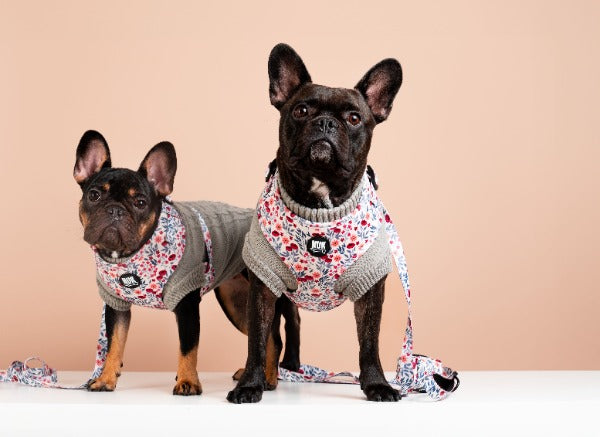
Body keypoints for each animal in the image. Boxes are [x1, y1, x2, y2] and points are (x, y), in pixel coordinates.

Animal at [73, 130, 300, 395]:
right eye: (94, 195)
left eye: (140, 202)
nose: (115, 210)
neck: (135, 253)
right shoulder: (116, 305)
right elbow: (114, 345)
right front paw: (106, 379)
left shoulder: (187, 303)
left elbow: (188, 348)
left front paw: (188, 382)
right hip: (238, 303)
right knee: (258, 337)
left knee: (273, 338)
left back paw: (268, 379)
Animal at [227, 43, 403, 403]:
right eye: (301, 110)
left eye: (354, 118)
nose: (324, 123)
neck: (319, 205)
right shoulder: (263, 285)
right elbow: (257, 341)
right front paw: (249, 384)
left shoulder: (371, 289)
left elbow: (370, 343)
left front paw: (377, 384)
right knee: (281, 334)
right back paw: (273, 375)